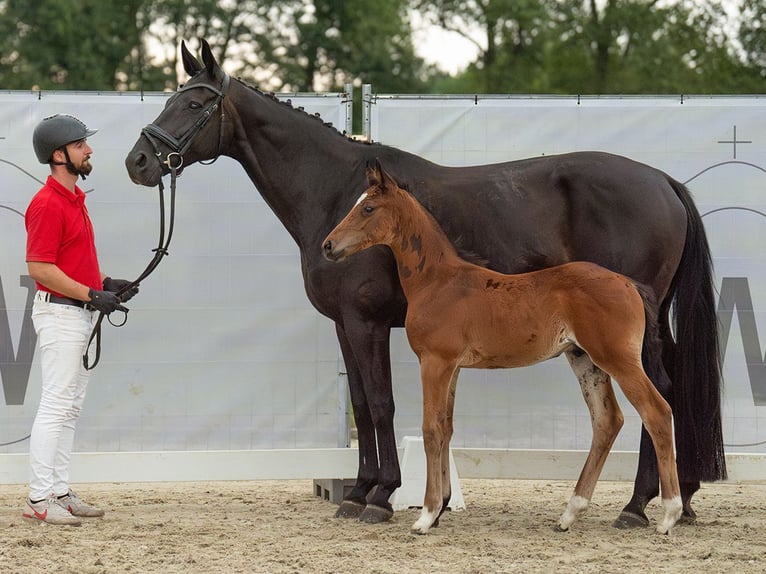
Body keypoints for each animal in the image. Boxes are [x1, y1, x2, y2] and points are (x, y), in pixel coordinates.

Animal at [324, 161, 684, 536]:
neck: (438, 281)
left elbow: (430, 429)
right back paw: (570, 513)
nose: (328, 245)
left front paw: (426, 515)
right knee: (607, 420)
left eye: (368, 208)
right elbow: (446, 428)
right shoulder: (453, 368)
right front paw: (440, 510)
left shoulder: (435, 361)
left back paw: (667, 514)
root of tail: (628, 283)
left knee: (657, 412)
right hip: (585, 359)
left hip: (617, 358)